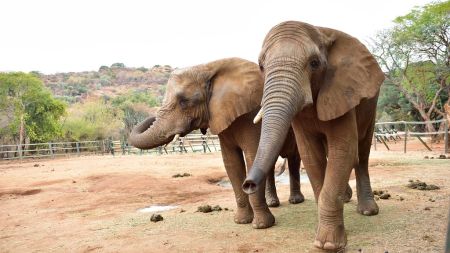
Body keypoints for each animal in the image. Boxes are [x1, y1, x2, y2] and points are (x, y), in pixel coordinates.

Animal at [128, 58, 306, 228]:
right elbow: (231, 163)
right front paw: (241, 221)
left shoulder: (251, 115)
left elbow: (252, 156)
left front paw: (262, 225)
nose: (151, 116)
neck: (208, 68)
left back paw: (296, 201)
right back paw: (273, 203)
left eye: (184, 101)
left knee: (294, 159)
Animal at [243, 20, 384, 250]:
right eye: (261, 66)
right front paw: (324, 237)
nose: (248, 184)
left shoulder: (341, 90)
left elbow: (343, 150)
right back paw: (347, 198)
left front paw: (328, 244)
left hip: (371, 104)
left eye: (315, 63)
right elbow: (311, 154)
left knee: (362, 152)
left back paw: (368, 211)